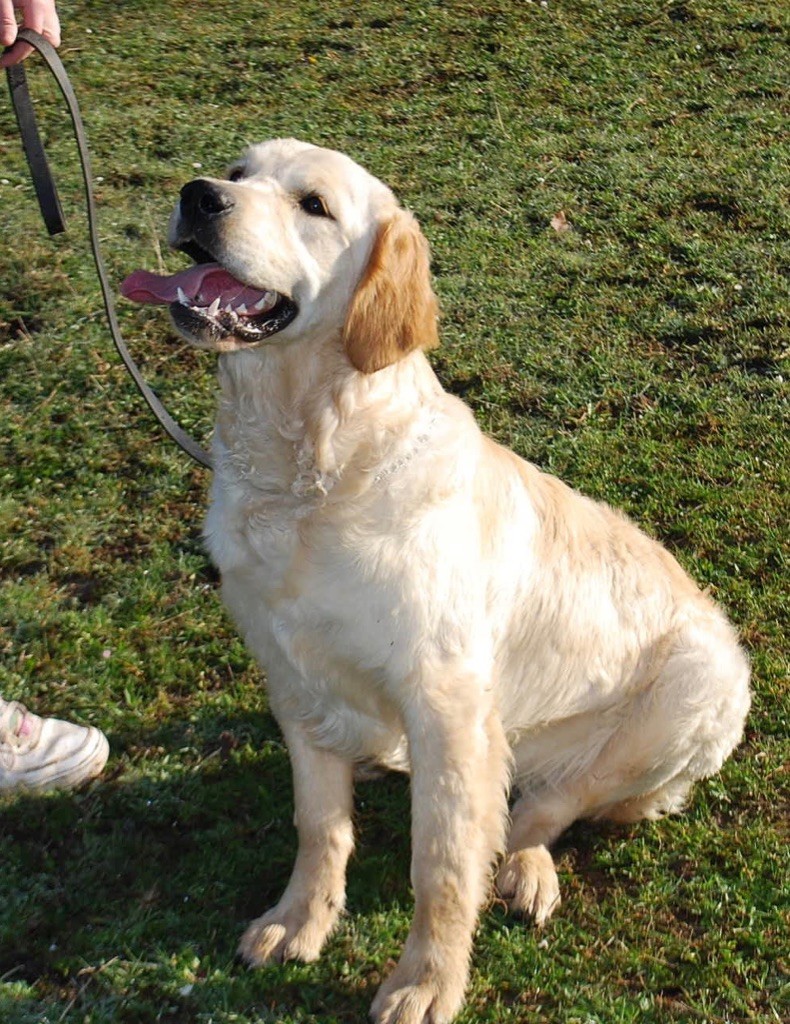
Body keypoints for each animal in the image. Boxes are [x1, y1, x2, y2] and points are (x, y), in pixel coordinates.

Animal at [120, 138, 750, 1024]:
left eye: (314, 205)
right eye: (240, 174)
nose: (200, 195)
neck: (308, 475)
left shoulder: (447, 704)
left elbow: (444, 864)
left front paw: (427, 980)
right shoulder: (292, 678)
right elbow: (319, 824)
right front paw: (299, 919)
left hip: (696, 688)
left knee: (540, 808)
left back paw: (526, 871)